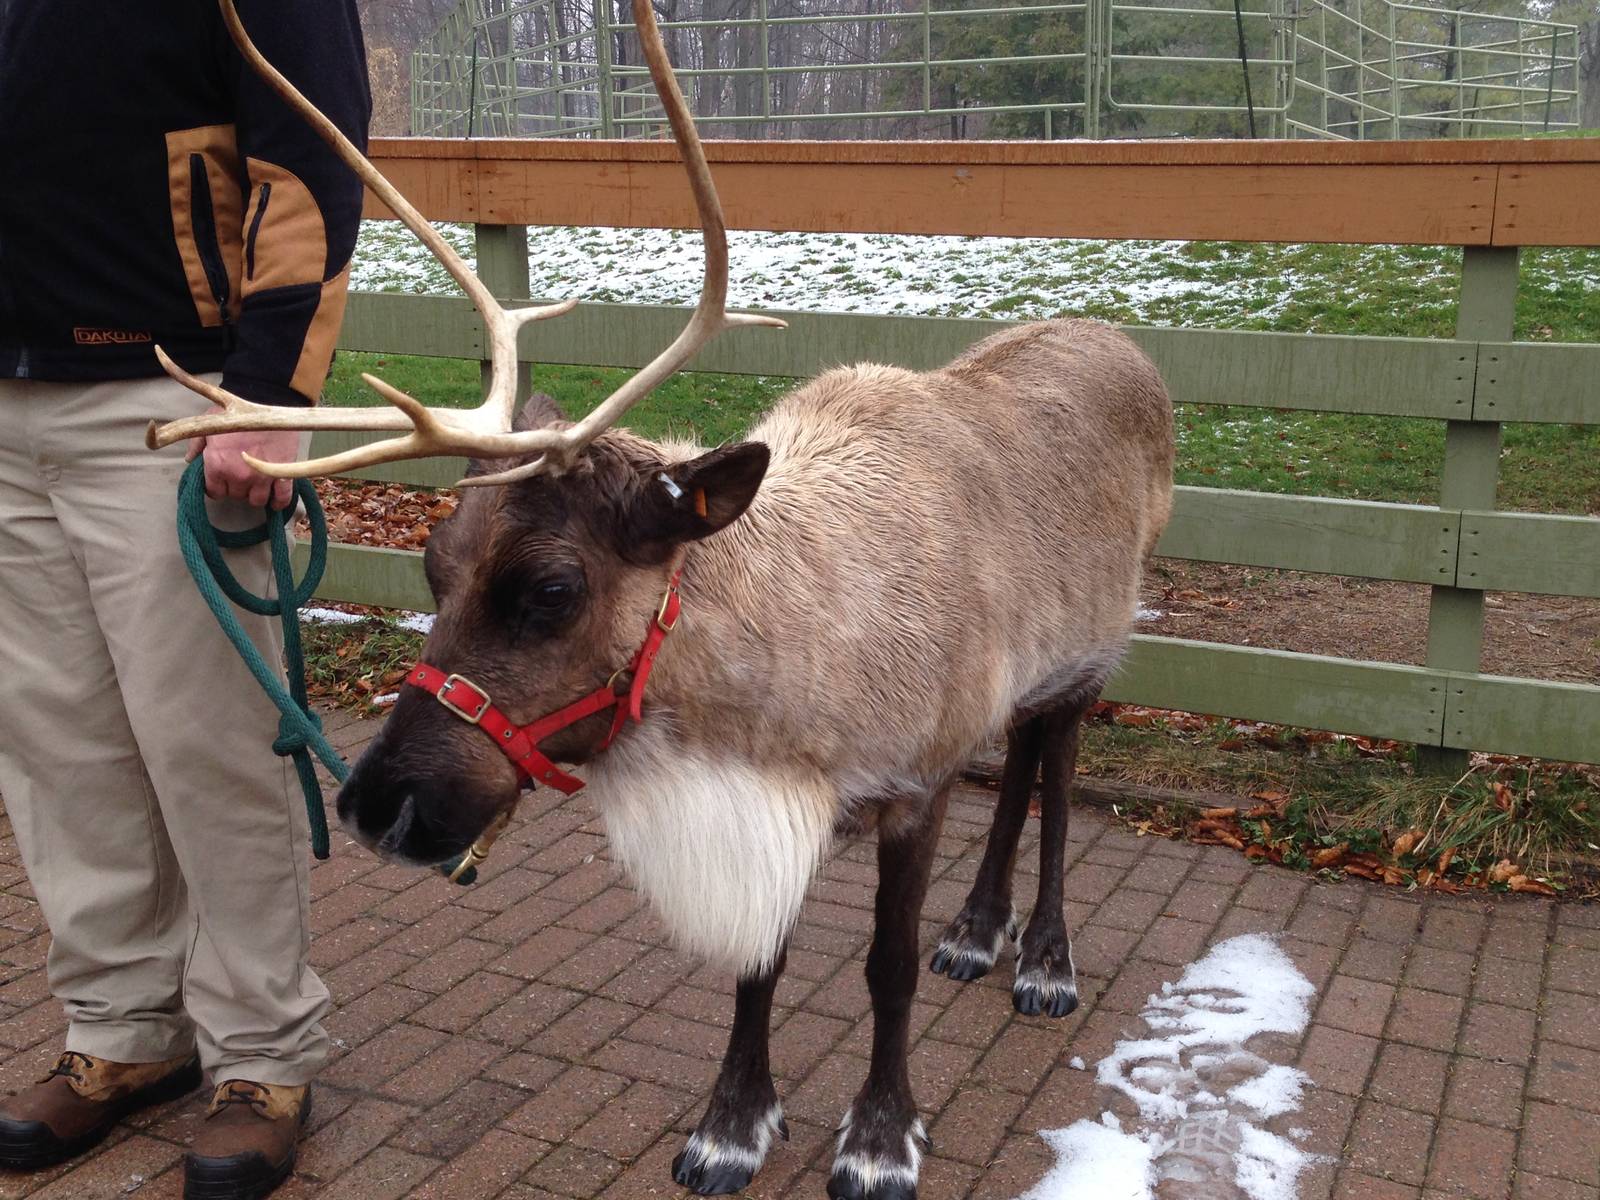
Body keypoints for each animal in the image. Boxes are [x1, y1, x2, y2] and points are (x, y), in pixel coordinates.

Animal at [148, 2, 1175, 1197]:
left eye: (551, 587)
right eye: (432, 563)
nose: (374, 807)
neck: (770, 701)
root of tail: (1119, 341)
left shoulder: (910, 786)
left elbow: (883, 968)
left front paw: (879, 1137)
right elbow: (756, 962)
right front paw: (733, 1124)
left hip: (1094, 649)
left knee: (1050, 773)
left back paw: (1043, 958)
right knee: (1013, 765)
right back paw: (977, 927)